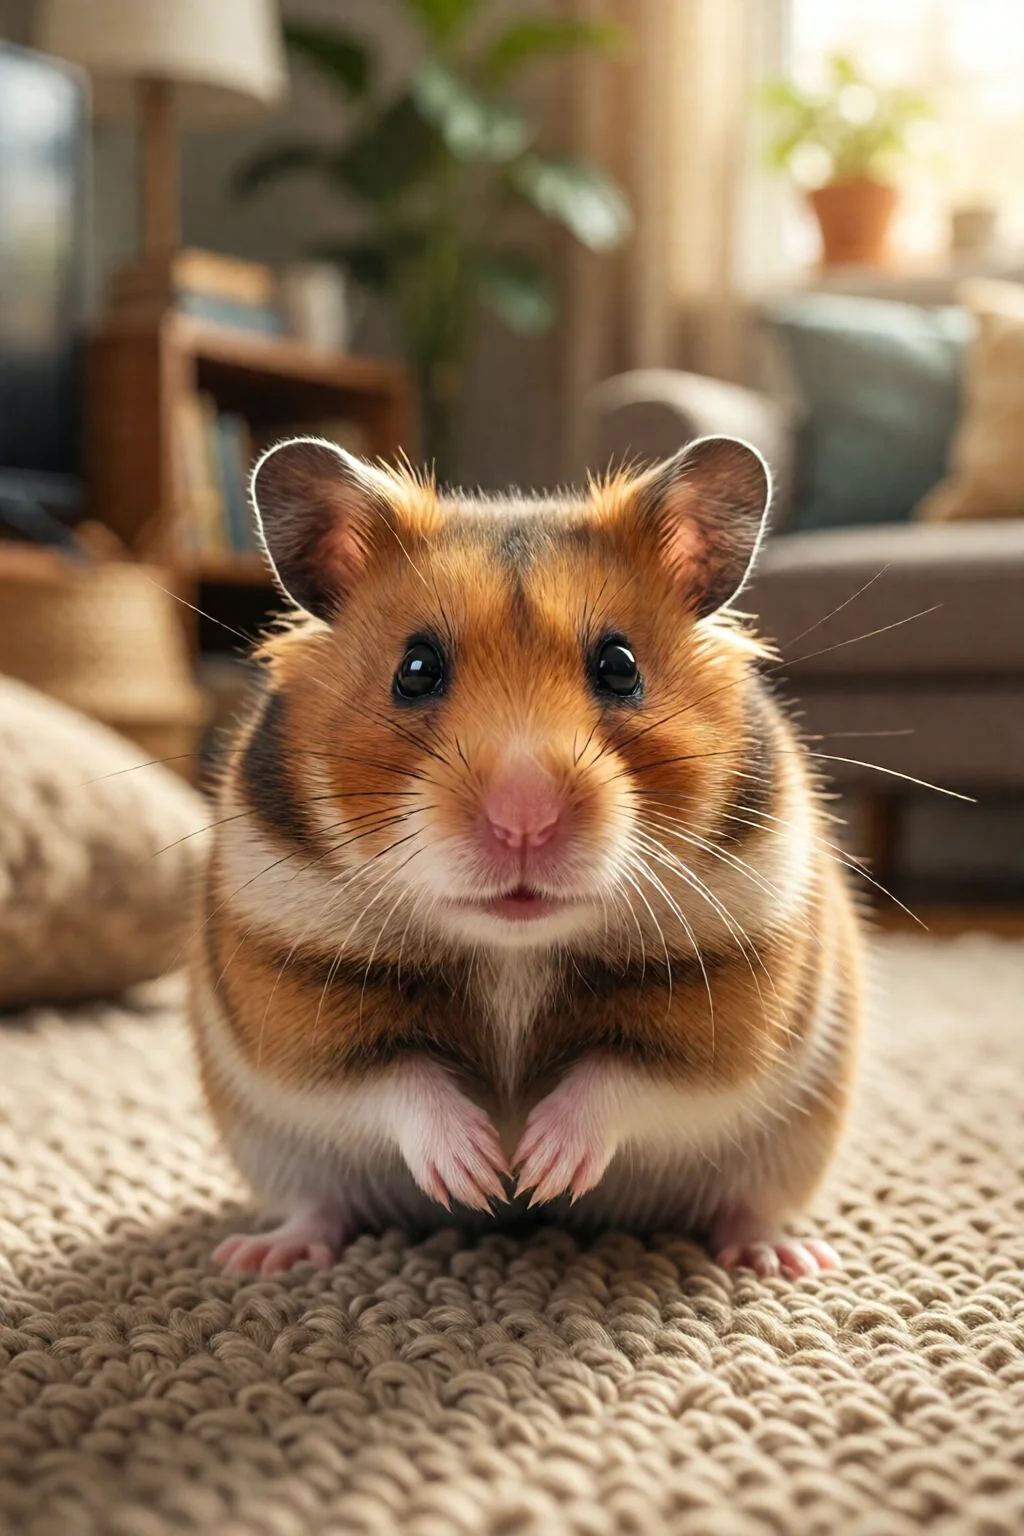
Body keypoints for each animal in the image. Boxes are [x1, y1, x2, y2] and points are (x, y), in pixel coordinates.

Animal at [189, 434, 863, 1279]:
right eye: (415, 670)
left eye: (620, 666)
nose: (523, 822)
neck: (513, 949)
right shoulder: (294, 1006)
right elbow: (396, 1079)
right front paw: (480, 1172)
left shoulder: (729, 1013)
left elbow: (621, 1076)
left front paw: (541, 1168)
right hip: (276, 1147)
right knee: (322, 1201)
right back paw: (260, 1256)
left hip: (790, 1144)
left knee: (743, 1203)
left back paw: (784, 1258)